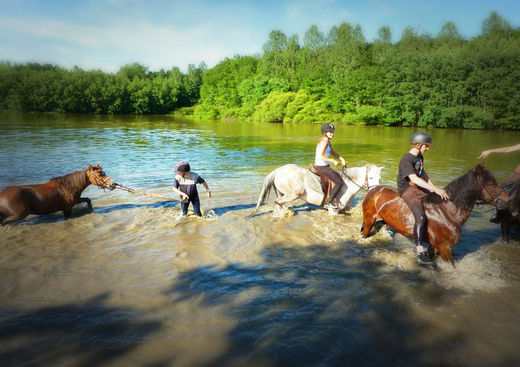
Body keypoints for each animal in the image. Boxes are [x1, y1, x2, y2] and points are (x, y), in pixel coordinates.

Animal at [252, 163, 382, 216]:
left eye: (379, 178)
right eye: (370, 177)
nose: (375, 192)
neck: (348, 186)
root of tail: (278, 170)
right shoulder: (333, 211)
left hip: (282, 193)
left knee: (278, 204)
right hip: (293, 195)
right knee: (278, 202)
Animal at [362, 165, 508, 264]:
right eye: (491, 184)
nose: (507, 200)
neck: (448, 212)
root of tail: (374, 189)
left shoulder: (436, 246)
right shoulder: (445, 248)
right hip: (369, 220)